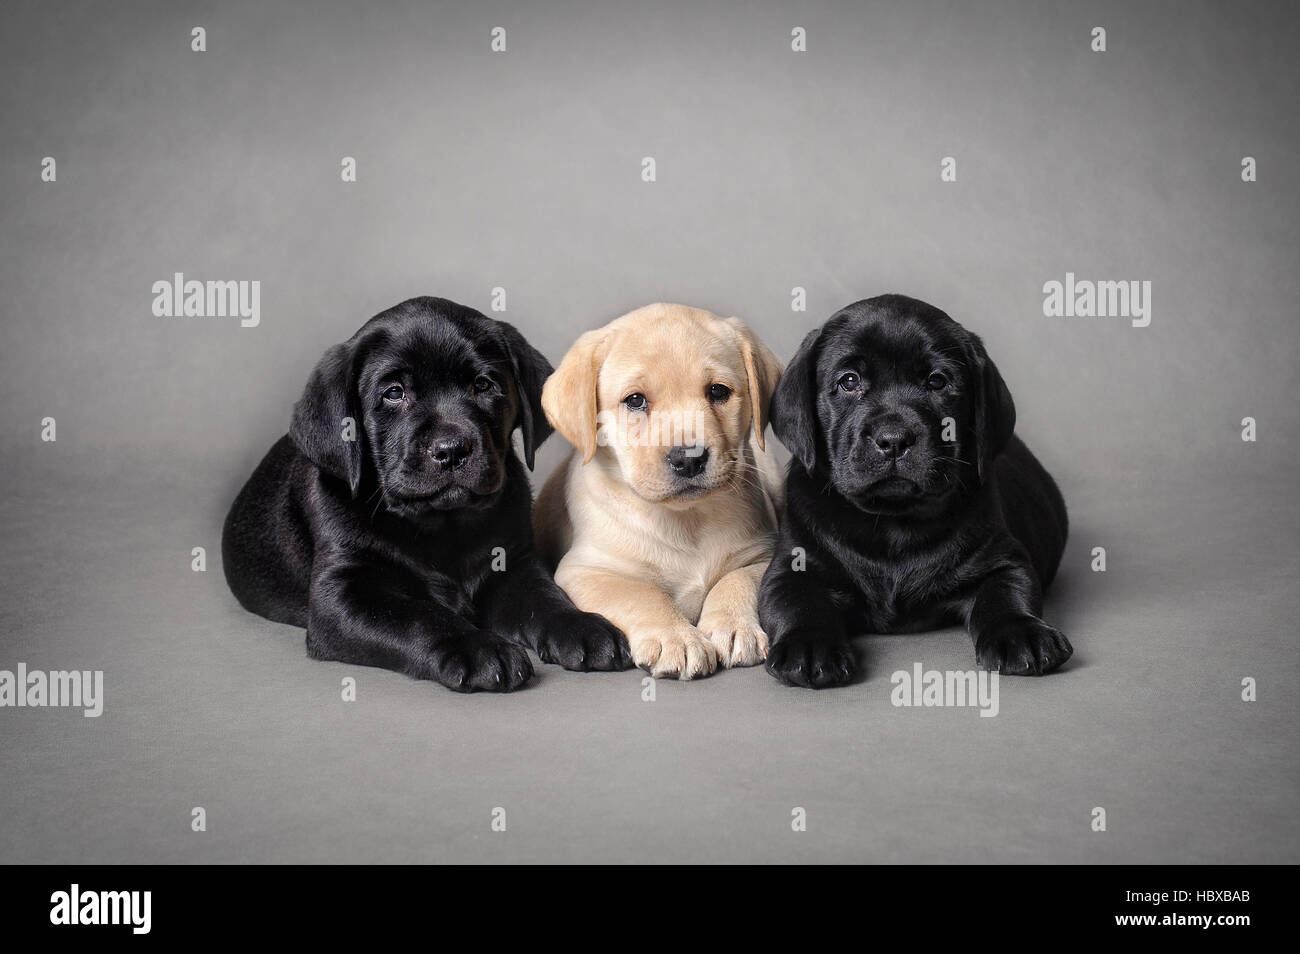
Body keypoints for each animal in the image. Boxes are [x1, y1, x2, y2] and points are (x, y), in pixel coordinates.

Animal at [223, 295, 629, 691]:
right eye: (394, 393)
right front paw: (479, 647)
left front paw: (582, 626)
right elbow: (418, 616)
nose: (451, 449)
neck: (442, 527)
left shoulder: (514, 562)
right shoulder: (340, 594)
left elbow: (545, 597)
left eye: (483, 385)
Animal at [535, 304, 780, 681]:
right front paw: (676, 637)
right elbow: (642, 594)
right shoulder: (586, 570)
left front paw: (733, 626)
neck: (687, 520)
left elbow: (738, 580)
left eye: (718, 392)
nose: (689, 458)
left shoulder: (762, 554)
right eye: (635, 401)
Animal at [759, 293, 1071, 686]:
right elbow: (797, 603)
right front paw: (809, 645)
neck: (894, 521)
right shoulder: (792, 567)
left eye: (937, 382)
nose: (893, 439)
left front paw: (1021, 632)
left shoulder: (1003, 559)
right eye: (849, 381)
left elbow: (1007, 593)